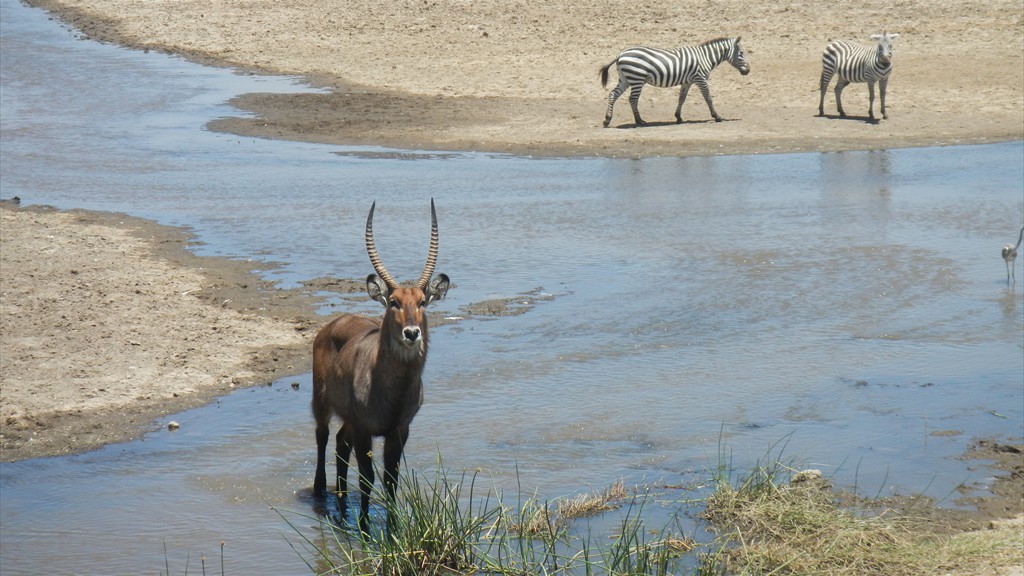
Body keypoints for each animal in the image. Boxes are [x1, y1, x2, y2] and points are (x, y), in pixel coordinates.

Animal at [309, 198, 450, 528]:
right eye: (394, 302)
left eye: (422, 302)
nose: (411, 333)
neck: (393, 390)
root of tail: (334, 323)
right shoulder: (365, 428)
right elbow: (367, 478)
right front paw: (364, 528)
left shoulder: (399, 429)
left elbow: (390, 479)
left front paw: (392, 526)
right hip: (322, 401)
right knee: (323, 437)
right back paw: (323, 492)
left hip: (349, 419)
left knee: (340, 444)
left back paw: (342, 502)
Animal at [598, 36, 753, 127]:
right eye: (741, 54)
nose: (748, 71)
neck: (705, 57)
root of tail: (620, 54)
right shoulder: (701, 79)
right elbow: (708, 98)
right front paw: (717, 116)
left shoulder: (687, 82)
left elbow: (681, 99)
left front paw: (678, 117)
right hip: (637, 78)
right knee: (633, 99)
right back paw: (639, 121)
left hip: (625, 79)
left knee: (613, 94)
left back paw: (607, 119)